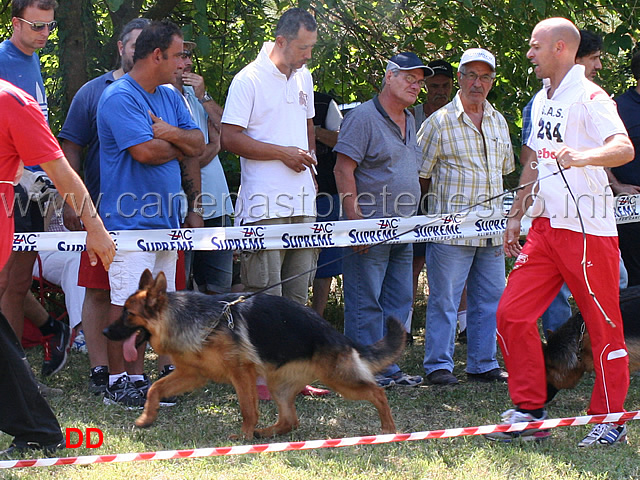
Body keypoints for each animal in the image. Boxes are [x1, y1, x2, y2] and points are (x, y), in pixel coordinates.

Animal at [104, 270, 404, 438]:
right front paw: (146, 417)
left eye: (128, 314)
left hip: (341, 380)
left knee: (377, 392)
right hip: (279, 386)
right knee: (290, 421)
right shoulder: (192, 375)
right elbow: (155, 388)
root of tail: (338, 335)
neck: (188, 319)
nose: (105, 331)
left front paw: (245, 436)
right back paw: (266, 433)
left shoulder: (241, 373)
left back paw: (389, 430)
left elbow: (248, 408)